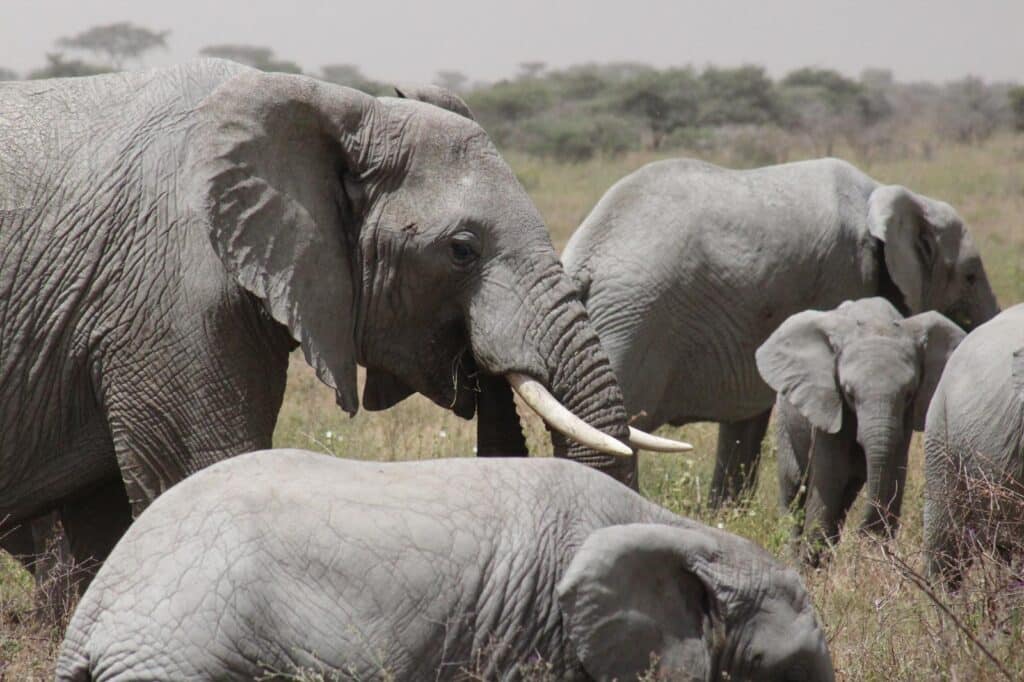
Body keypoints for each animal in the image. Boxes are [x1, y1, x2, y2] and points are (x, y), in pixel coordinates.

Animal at [757, 294, 962, 561]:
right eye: (849, 394)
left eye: (908, 394)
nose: (863, 531)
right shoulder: (829, 403)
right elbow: (830, 477)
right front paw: (808, 566)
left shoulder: (905, 418)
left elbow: (894, 472)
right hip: (785, 420)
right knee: (794, 486)